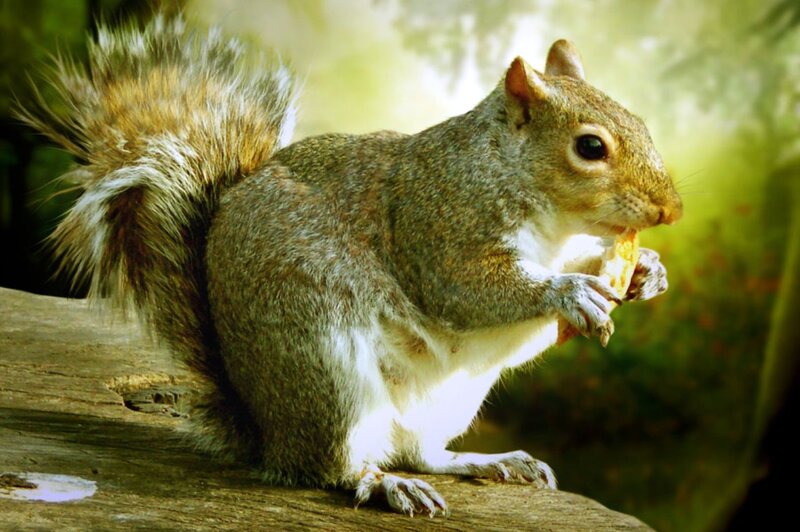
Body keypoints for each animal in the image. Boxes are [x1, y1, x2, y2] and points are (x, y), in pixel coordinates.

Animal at [19, 15, 682, 516]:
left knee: (420, 451)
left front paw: (646, 272)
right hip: (323, 368)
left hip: (448, 400)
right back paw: (384, 484)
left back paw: (488, 462)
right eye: (590, 147)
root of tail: (270, 434)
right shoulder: (434, 225)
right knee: (335, 467)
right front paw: (571, 292)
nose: (670, 210)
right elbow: (468, 291)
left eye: (642, 122)